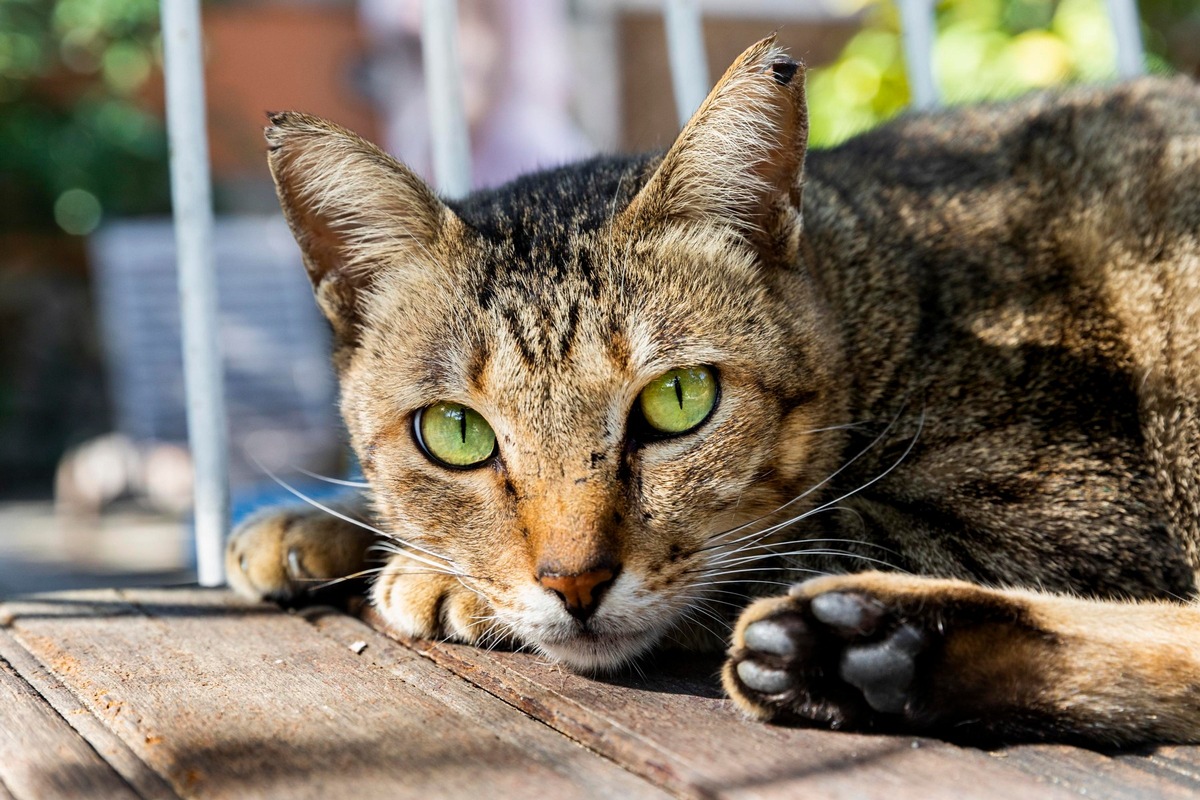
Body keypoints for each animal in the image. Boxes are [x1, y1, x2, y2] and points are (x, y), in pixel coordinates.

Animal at [225, 37, 1200, 748]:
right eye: (457, 433)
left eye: (681, 401)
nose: (574, 583)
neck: (876, 290)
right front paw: (310, 527)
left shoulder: (1064, 510)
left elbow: (802, 535)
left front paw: (431, 577)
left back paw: (869, 645)